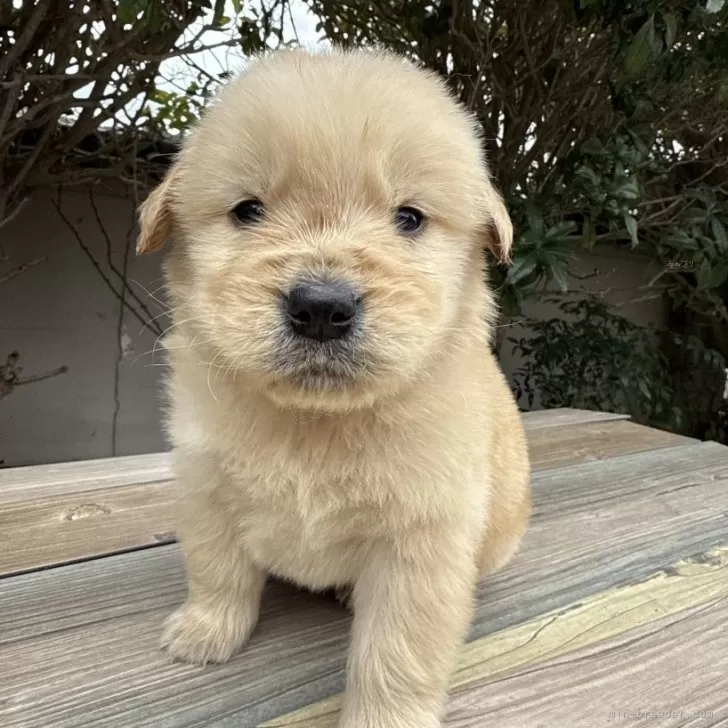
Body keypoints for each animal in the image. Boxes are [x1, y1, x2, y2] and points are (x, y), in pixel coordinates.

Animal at [138, 47, 528, 728]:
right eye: (248, 211)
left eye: (409, 219)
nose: (321, 307)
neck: (315, 421)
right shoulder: (206, 486)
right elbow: (216, 569)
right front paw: (205, 632)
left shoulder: (419, 546)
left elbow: (393, 656)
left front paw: (384, 719)